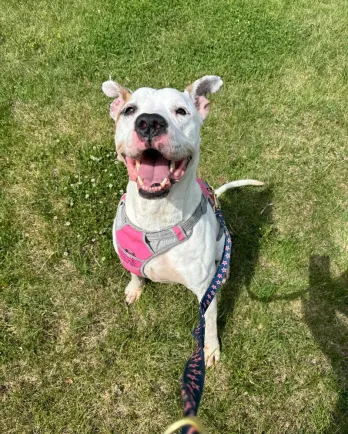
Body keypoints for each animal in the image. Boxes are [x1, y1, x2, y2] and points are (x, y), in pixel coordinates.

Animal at [102, 75, 262, 366]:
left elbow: (209, 322)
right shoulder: (129, 256)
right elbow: (134, 272)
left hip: (223, 243)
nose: (149, 122)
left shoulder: (204, 291)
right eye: (129, 110)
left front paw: (210, 350)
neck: (156, 215)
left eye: (181, 111)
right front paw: (134, 288)